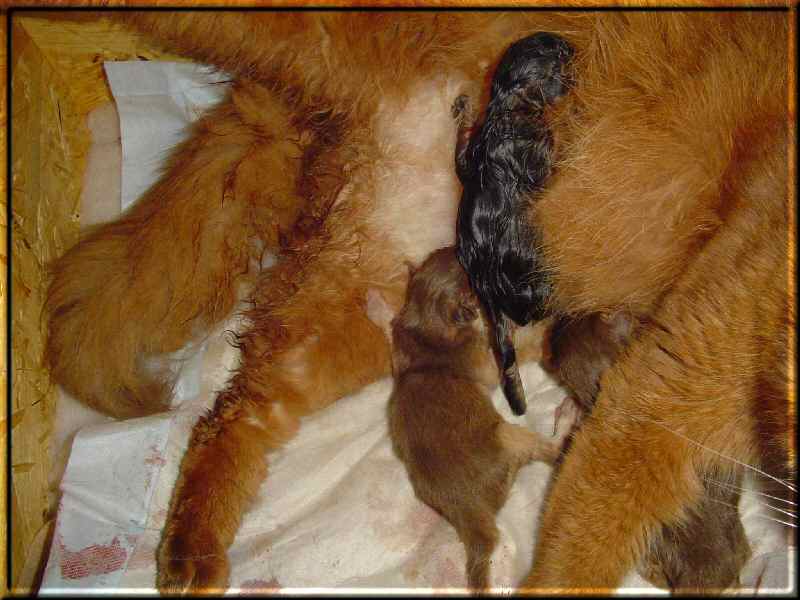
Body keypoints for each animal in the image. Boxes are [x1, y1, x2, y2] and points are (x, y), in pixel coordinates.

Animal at [454, 31, 572, 418]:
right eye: (562, 54)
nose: (574, 47)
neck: (506, 102)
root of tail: (487, 286)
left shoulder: (468, 156)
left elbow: (461, 152)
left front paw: (462, 110)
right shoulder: (538, 161)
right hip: (536, 282)